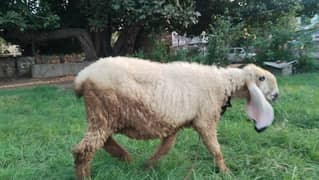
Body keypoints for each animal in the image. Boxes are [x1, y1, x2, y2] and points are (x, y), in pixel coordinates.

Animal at [72, 56, 280, 179]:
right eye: (262, 78)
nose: (276, 95)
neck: (223, 83)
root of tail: (82, 77)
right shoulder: (205, 120)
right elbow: (215, 149)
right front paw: (225, 172)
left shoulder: (173, 124)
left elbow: (165, 148)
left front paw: (147, 166)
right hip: (103, 111)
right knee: (83, 150)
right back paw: (88, 175)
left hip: (102, 116)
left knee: (103, 142)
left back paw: (126, 159)